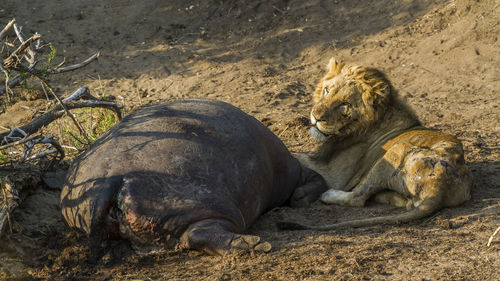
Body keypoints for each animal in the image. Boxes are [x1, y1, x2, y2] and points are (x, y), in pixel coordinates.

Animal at [280, 58, 470, 229]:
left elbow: (296, 156)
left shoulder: (333, 174)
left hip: (392, 153)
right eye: (326, 90)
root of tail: (441, 188)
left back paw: (329, 195)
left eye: (344, 104)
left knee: (357, 198)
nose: (315, 116)